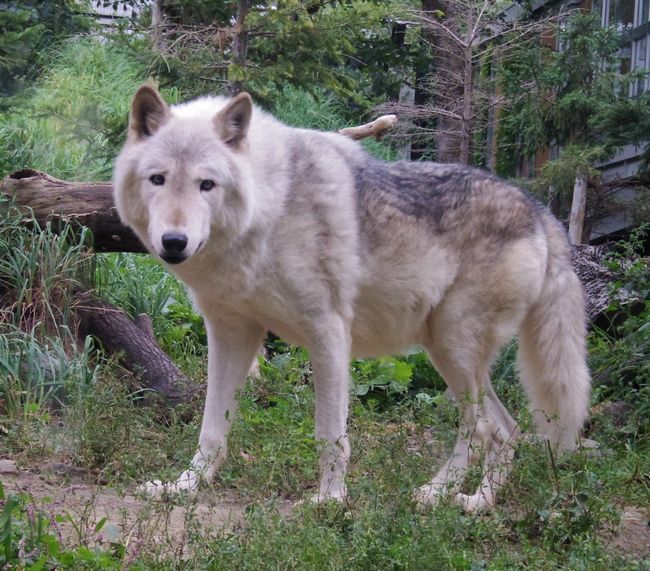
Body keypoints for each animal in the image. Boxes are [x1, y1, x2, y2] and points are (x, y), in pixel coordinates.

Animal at [114, 86, 588, 512]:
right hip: (447, 354)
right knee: (503, 431)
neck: (269, 210)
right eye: (158, 179)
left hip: (453, 349)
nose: (174, 242)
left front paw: (329, 501)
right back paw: (464, 501)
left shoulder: (327, 332)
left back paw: (452, 499)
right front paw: (184, 487)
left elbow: (330, 434)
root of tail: (541, 213)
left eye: (207, 184)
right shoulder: (232, 334)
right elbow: (211, 429)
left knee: (486, 429)